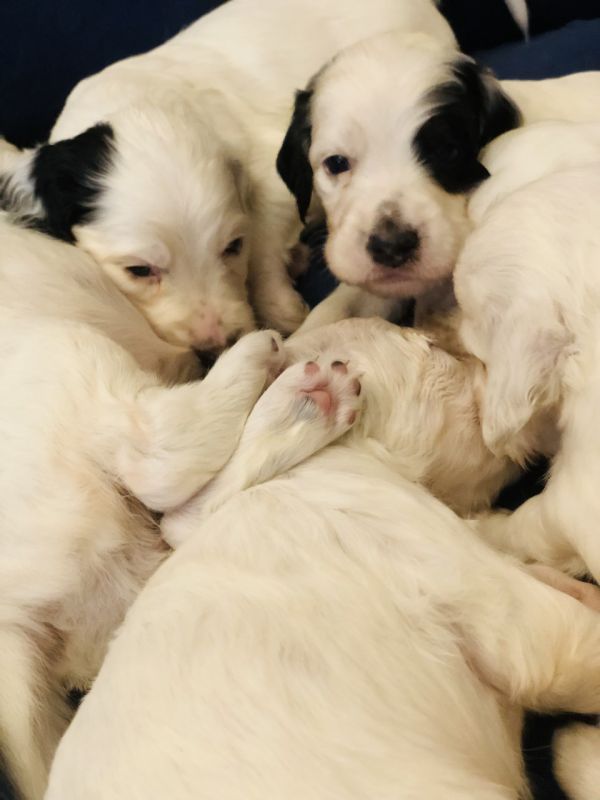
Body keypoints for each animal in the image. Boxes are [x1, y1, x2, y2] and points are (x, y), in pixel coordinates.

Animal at [0, 0, 455, 353]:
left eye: (232, 247)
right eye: (139, 271)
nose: (218, 343)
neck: (142, 102)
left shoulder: (274, 176)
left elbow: (264, 243)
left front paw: (281, 305)